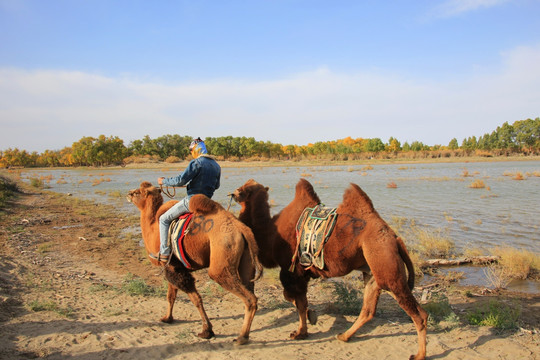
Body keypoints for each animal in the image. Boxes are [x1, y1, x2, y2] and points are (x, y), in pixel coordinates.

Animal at [126, 181, 262, 344]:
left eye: (137, 192)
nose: (128, 194)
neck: (152, 228)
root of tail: (241, 228)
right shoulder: (173, 266)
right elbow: (171, 295)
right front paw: (167, 318)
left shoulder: (173, 267)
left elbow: (195, 299)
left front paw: (206, 331)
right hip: (246, 261)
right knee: (250, 289)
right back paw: (244, 334)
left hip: (221, 260)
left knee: (248, 298)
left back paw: (241, 337)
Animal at [232, 179, 430, 358]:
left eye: (245, 189)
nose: (233, 193)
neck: (271, 234)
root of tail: (395, 238)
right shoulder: (301, 273)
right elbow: (299, 301)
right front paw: (308, 323)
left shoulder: (291, 271)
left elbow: (296, 300)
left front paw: (302, 329)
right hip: (372, 271)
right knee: (368, 309)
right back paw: (344, 336)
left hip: (385, 264)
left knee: (418, 313)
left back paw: (419, 354)